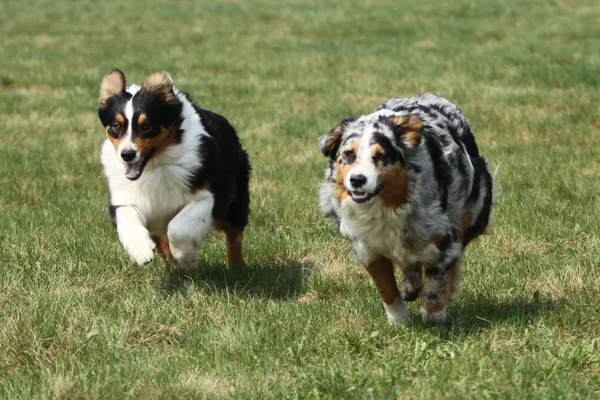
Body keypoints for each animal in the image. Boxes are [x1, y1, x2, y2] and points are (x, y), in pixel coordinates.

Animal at [98, 70, 251, 270]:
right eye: (117, 126)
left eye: (146, 126)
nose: (127, 154)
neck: (156, 164)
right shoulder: (125, 196)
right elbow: (127, 219)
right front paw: (141, 251)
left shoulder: (212, 193)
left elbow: (178, 228)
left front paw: (185, 256)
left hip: (236, 199)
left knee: (234, 234)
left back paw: (236, 267)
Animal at [318, 94, 492, 324]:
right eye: (348, 154)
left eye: (381, 156)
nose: (357, 180)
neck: (384, 206)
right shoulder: (367, 248)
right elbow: (386, 288)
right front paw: (398, 321)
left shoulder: (444, 239)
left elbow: (438, 281)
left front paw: (434, 317)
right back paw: (411, 285)